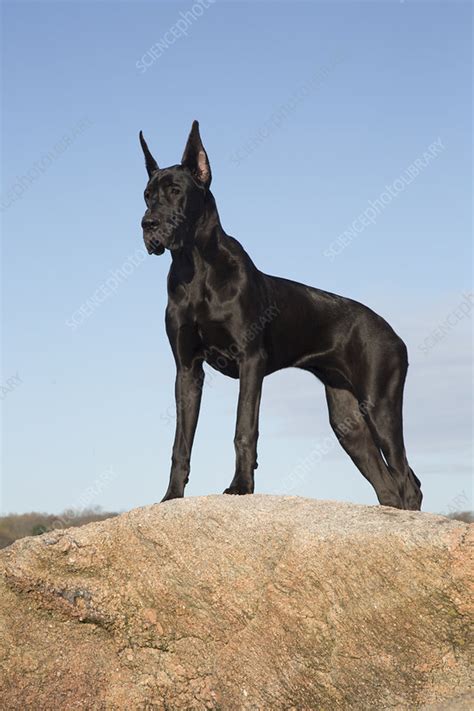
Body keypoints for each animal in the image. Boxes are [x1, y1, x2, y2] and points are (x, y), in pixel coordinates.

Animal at [140, 122, 422, 512]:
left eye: (176, 191)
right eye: (147, 195)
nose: (147, 224)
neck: (195, 266)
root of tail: (394, 332)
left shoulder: (251, 360)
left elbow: (244, 428)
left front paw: (241, 486)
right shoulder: (187, 369)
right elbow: (181, 442)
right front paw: (171, 496)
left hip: (381, 404)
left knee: (408, 481)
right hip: (348, 421)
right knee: (389, 487)